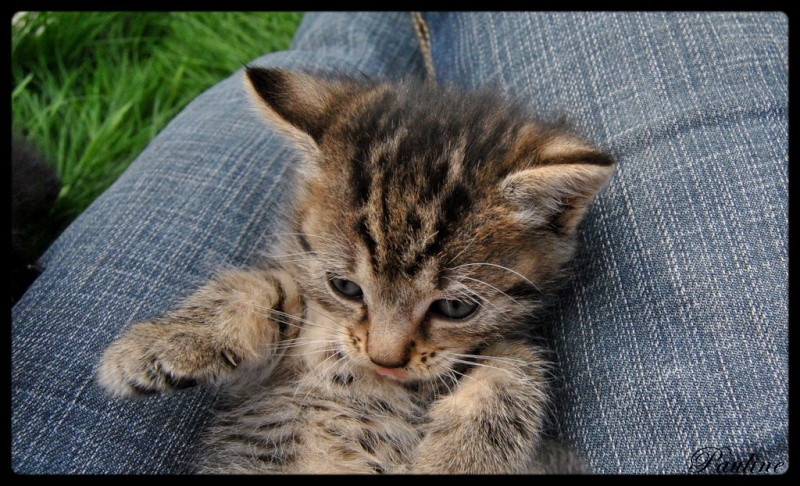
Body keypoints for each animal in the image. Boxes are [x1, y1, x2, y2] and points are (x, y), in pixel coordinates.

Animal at [97, 66, 616, 472]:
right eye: (345, 287)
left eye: (455, 308)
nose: (384, 360)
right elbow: (267, 286)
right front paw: (158, 346)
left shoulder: (509, 348)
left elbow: (516, 369)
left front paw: (455, 462)